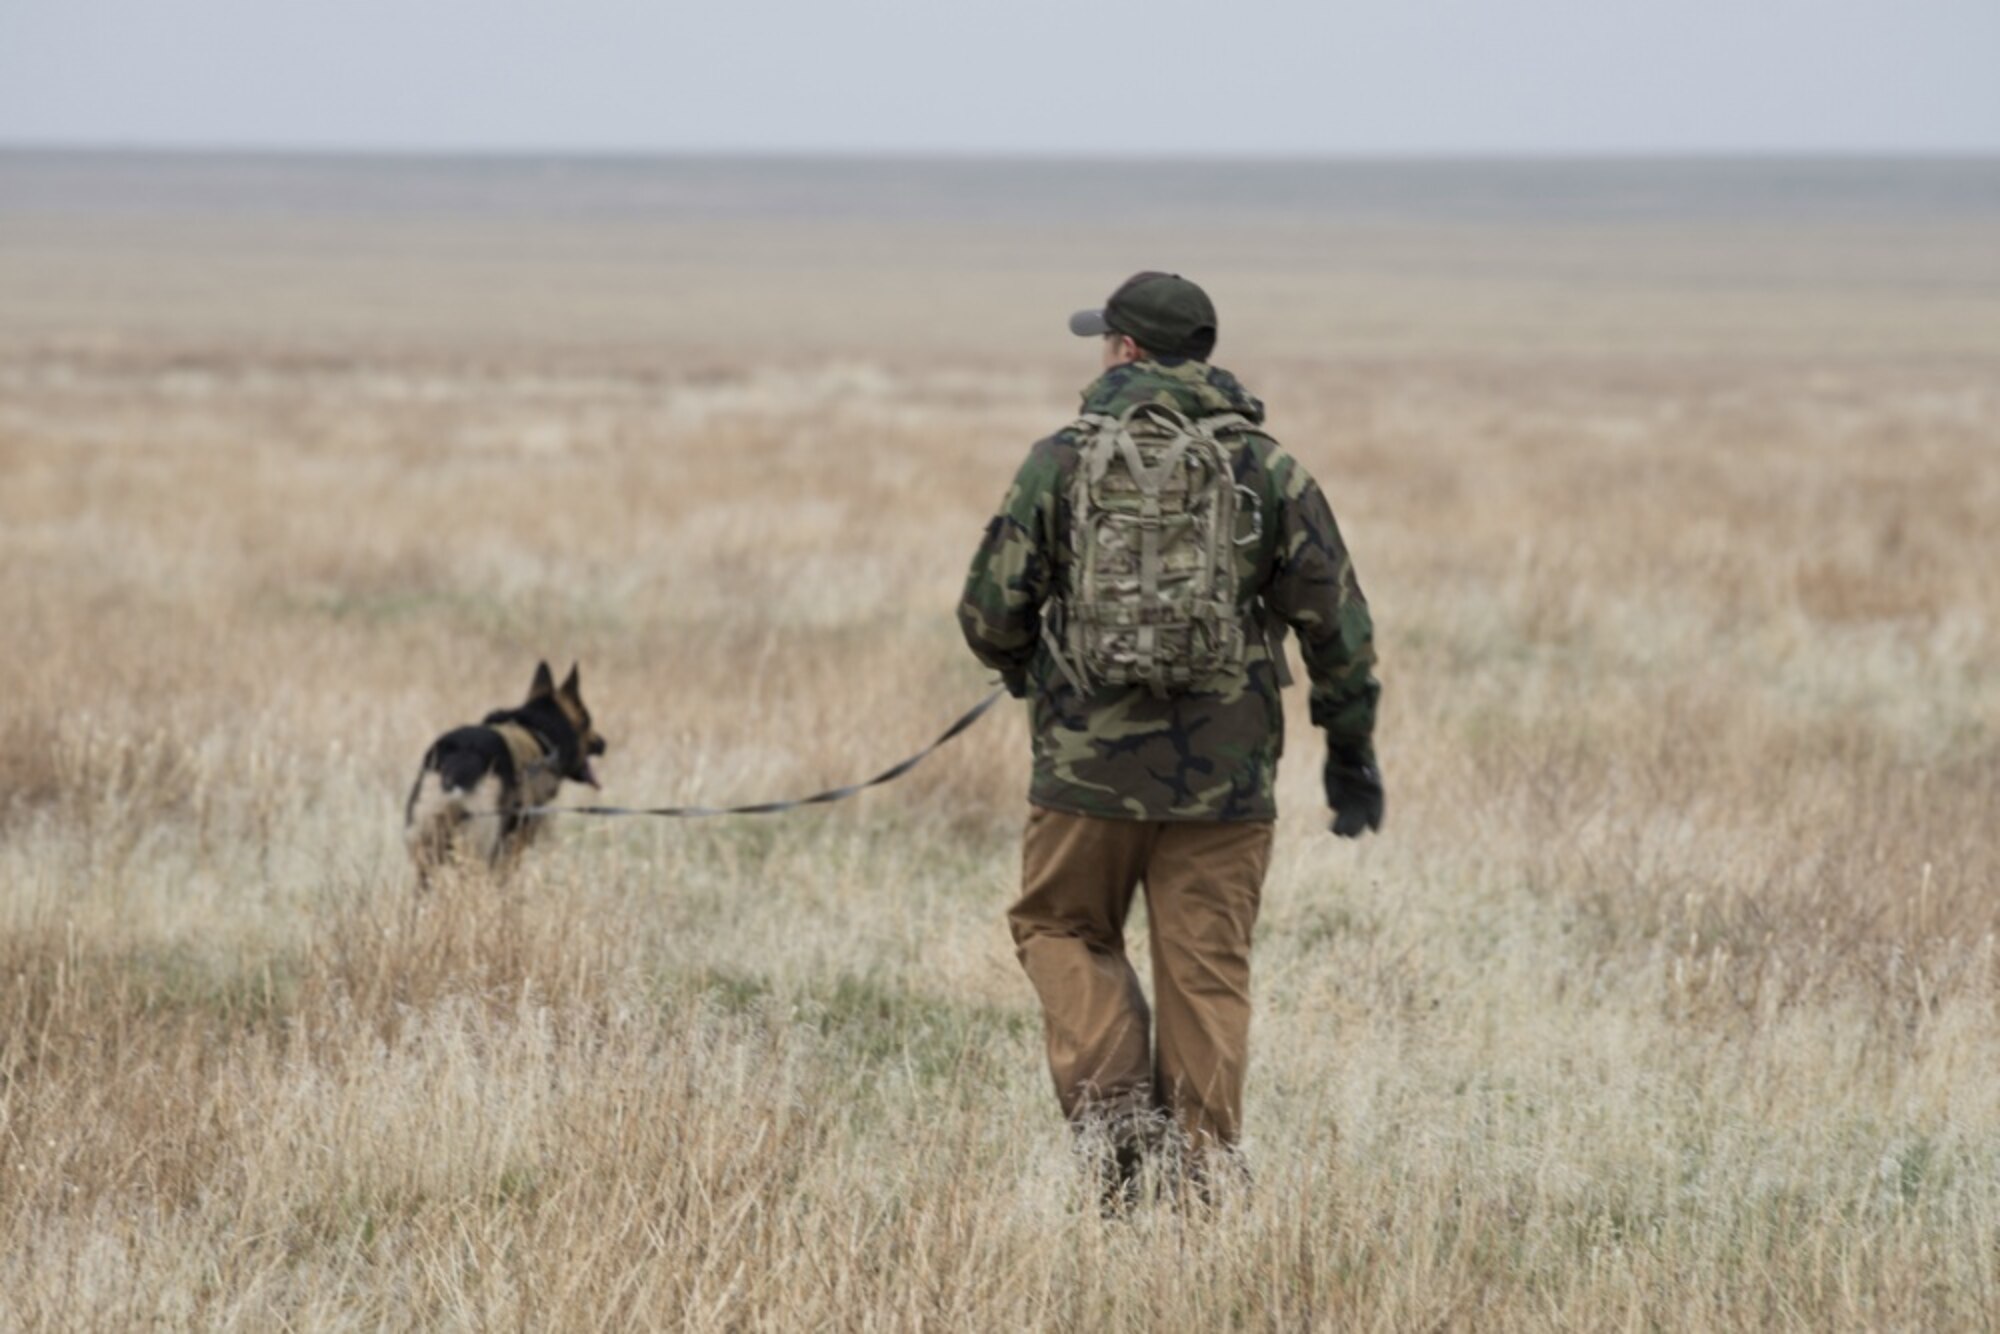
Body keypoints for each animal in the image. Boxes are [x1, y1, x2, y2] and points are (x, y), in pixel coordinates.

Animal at [398, 660, 600, 888]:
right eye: (587, 721)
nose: (604, 744)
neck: (538, 731)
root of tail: (461, 758)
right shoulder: (514, 841)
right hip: (478, 845)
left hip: (428, 849)